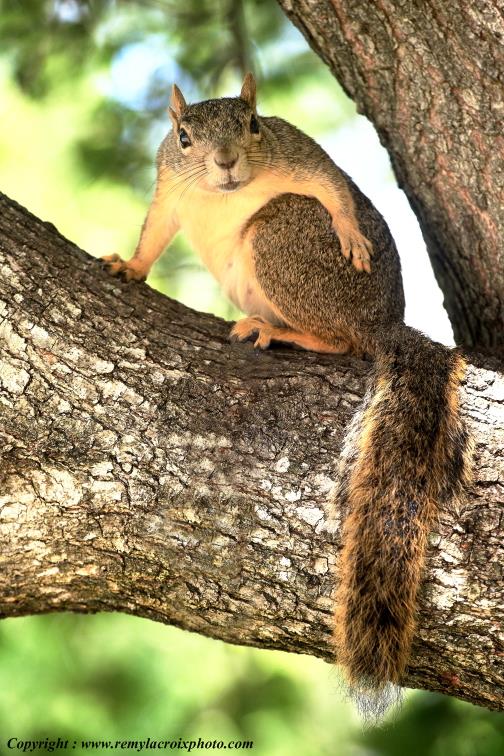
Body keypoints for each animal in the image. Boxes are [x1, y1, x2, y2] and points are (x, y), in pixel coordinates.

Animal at [102, 73, 472, 712]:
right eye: (183, 137)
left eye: (253, 124)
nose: (226, 161)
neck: (222, 191)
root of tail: (384, 324)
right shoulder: (169, 185)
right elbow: (155, 230)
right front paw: (131, 266)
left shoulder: (293, 151)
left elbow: (329, 179)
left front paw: (348, 226)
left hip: (283, 235)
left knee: (343, 341)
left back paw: (279, 330)